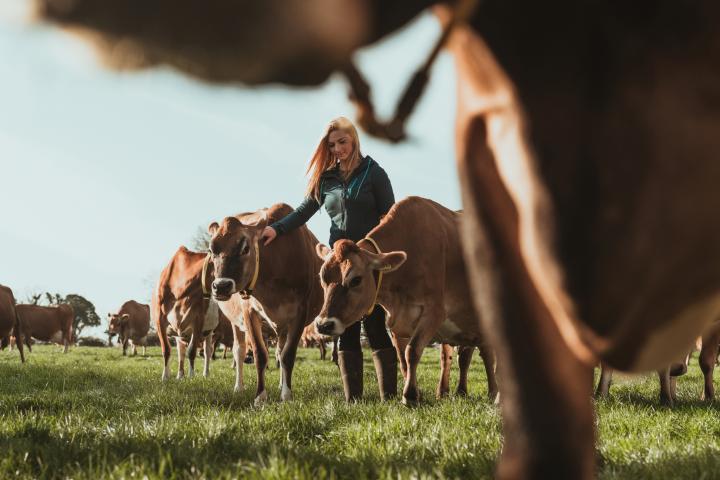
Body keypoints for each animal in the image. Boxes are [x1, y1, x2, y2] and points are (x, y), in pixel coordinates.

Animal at [208, 203, 323, 404]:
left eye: (245, 247)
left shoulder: (300, 312)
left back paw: (281, 385)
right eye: (211, 250)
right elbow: (260, 354)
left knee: (280, 351)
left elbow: (287, 355)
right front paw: (260, 397)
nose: (221, 286)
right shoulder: (249, 312)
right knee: (239, 350)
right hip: (235, 322)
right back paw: (239, 387)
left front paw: (286, 394)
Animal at [315, 196, 497, 405]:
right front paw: (415, 393)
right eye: (322, 277)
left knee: (485, 355)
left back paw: (493, 393)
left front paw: (409, 396)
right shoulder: (395, 323)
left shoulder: (434, 313)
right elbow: (402, 360)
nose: (323, 325)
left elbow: (412, 352)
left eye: (355, 280)